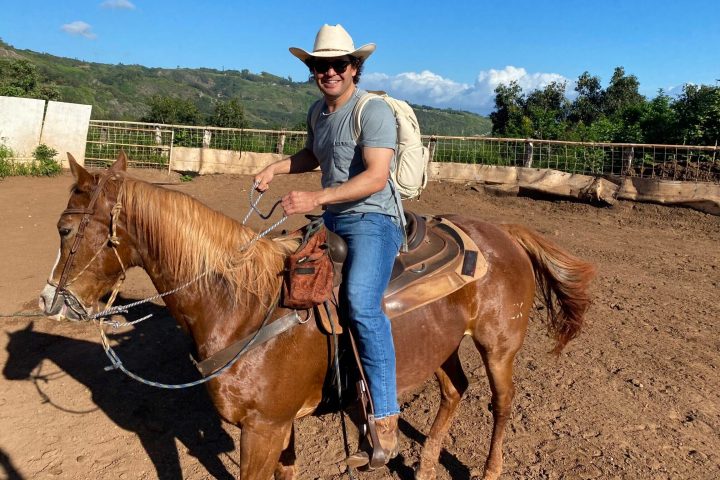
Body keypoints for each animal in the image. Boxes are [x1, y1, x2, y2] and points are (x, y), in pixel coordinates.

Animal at [36, 155, 592, 480]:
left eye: (64, 228)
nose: (50, 301)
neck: (243, 306)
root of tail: (502, 231)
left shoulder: (261, 429)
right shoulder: (278, 426)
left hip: (499, 345)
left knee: (501, 404)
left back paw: (486, 469)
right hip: (442, 344)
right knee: (455, 390)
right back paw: (425, 464)